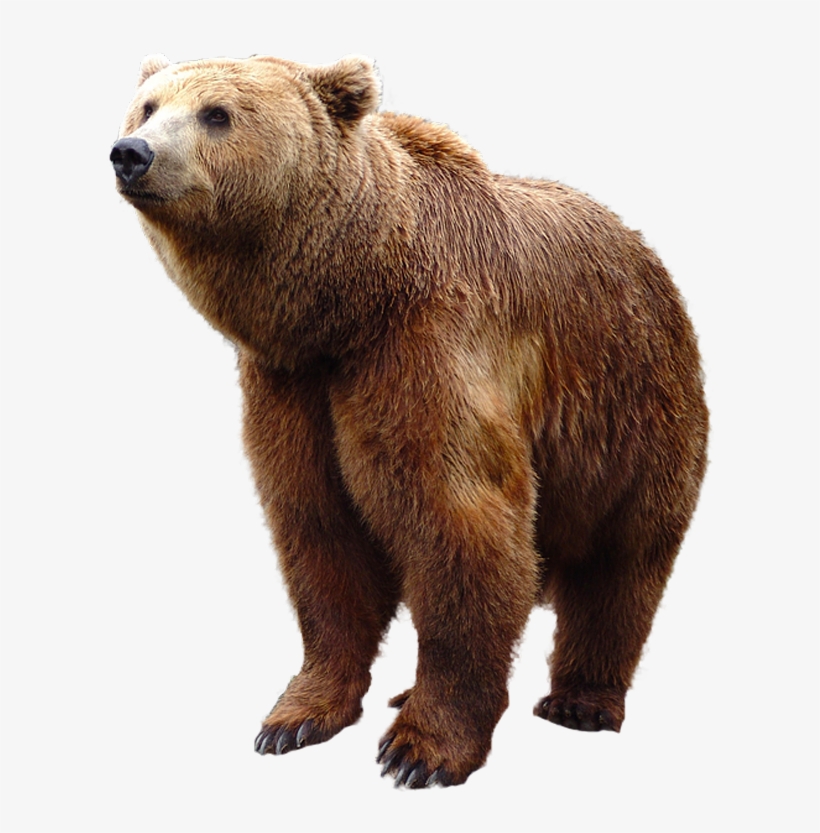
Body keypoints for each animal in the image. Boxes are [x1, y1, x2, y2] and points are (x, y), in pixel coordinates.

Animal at [110, 53, 708, 789]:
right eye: (148, 105)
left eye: (216, 113)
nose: (131, 152)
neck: (347, 299)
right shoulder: (293, 386)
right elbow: (319, 531)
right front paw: (294, 718)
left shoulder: (426, 348)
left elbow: (460, 521)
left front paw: (418, 750)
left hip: (630, 407)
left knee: (620, 561)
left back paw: (580, 699)